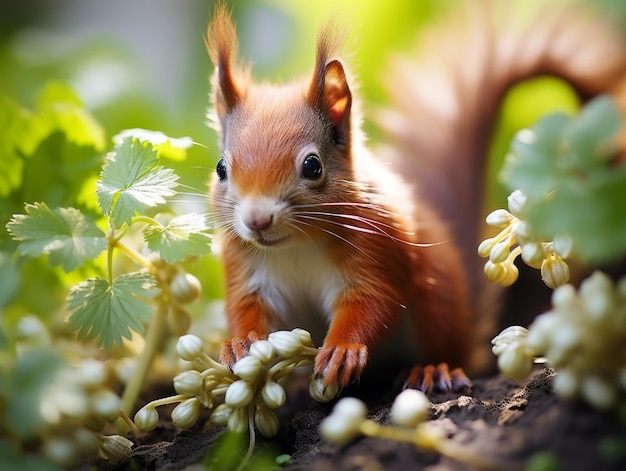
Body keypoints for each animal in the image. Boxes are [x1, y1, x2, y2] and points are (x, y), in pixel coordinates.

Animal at [207, 1, 624, 392]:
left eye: (312, 166)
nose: (256, 220)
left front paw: (342, 350)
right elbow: (245, 308)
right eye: (221, 168)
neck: (295, 245)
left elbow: (373, 303)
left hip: (435, 305)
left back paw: (432, 369)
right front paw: (239, 344)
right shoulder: (245, 266)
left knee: (444, 349)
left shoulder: (376, 247)